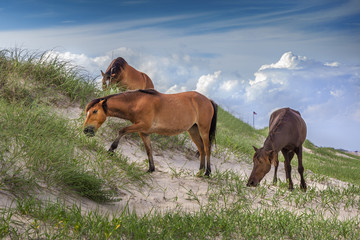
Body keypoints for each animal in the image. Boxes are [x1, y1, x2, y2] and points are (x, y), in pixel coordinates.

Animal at [82, 89, 217, 175]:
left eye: (94, 111)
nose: (86, 130)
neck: (137, 103)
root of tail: (209, 100)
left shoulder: (142, 126)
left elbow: (122, 131)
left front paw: (111, 150)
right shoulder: (143, 131)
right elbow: (148, 150)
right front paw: (151, 169)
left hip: (203, 130)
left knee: (207, 148)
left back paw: (207, 172)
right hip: (193, 130)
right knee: (201, 149)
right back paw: (200, 171)